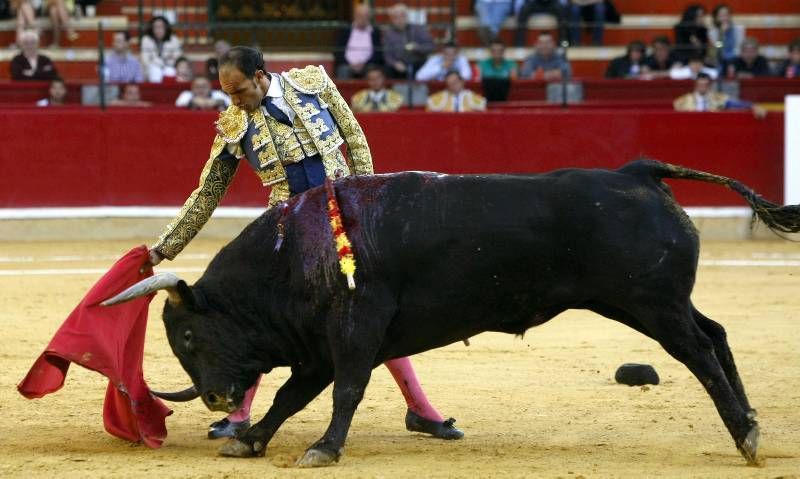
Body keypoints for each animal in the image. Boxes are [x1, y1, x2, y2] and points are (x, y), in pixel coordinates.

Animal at [104, 159, 800, 466]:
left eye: (186, 334)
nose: (216, 399)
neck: (292, 254)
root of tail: (639, 171)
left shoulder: (353, 331)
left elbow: (344, 392)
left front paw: (324, 449)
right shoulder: (321, 346)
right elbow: (291, 395)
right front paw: (250, 439)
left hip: (649, 303)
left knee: (700, 351)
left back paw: (745, 435)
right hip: (648, 302)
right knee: (717, 334)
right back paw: (750, 425)